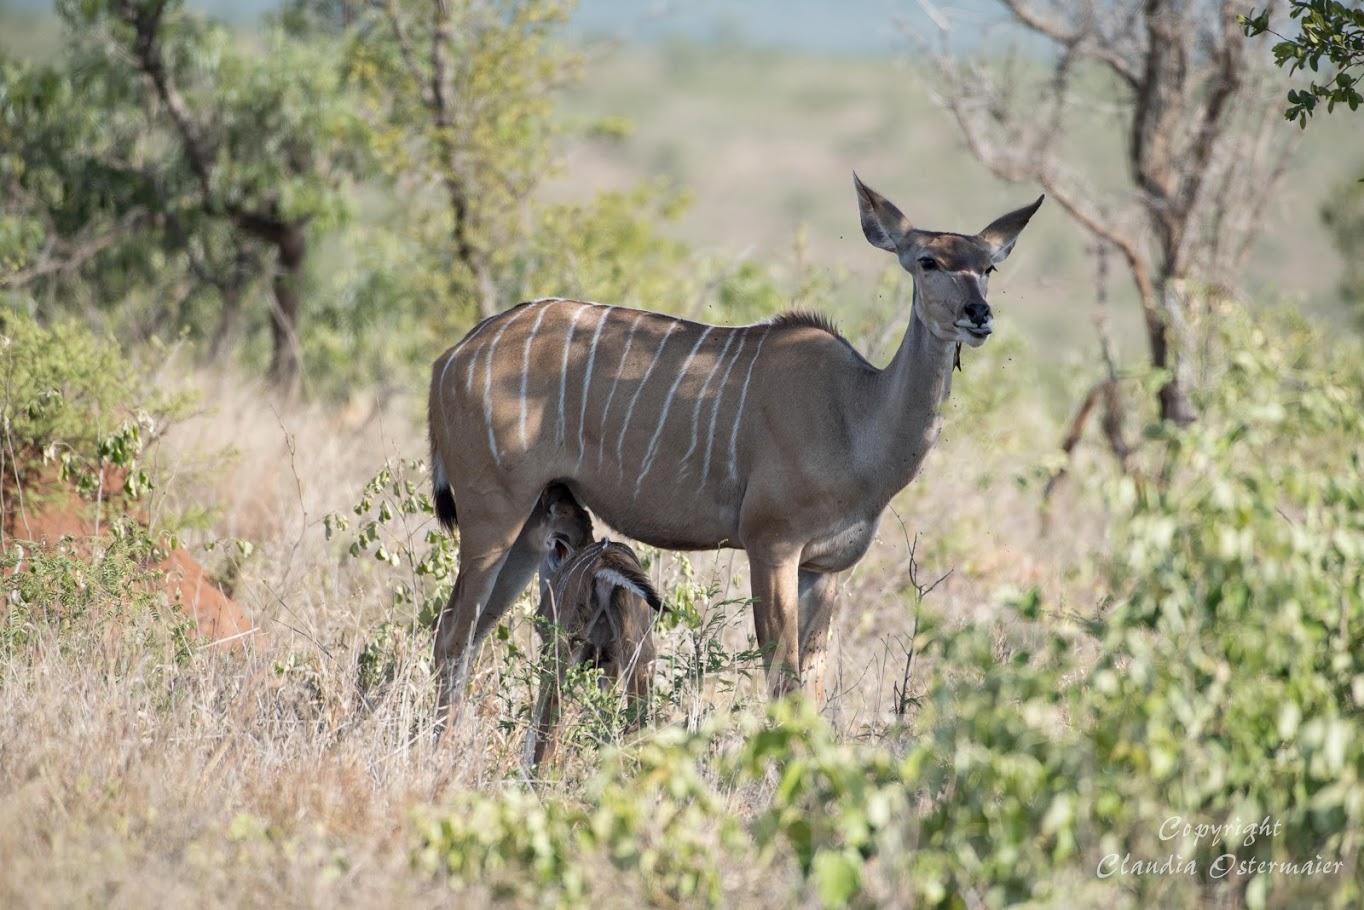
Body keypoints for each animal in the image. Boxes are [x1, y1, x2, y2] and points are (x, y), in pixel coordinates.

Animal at [428, 175, 1042, 703]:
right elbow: (782, 678)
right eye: (928, 260)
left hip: (532, 524)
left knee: (471, 630)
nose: (978, 314)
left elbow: (813, 681)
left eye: (987, 266)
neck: (853, 414)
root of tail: (452, 357)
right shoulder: (771, 545)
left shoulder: (825, 568)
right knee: (451, 633)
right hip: (492, 514)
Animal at [523, 534, 662, 769]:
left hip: (567, 645)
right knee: (638, 715)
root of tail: (605, 563)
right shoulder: (608, 660)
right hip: (637, 647)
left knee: (551, 718)